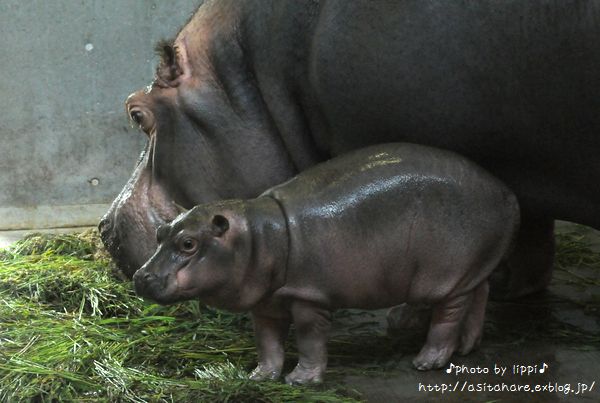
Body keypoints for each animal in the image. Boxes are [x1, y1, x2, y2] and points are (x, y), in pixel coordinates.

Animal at [134, 144, 516, 386]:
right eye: (160, 233)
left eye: (188, 243)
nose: (140, 276)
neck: (260, 236)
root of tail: (505, 192)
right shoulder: (266, 303)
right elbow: (267, 342)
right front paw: (260, 377)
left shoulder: (309, 298)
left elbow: (309, 341)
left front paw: (300, 380)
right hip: (471, 270)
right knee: (480, 294)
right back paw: (468, 346)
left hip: (446, 276)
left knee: (448, 316)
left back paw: (427, 361)